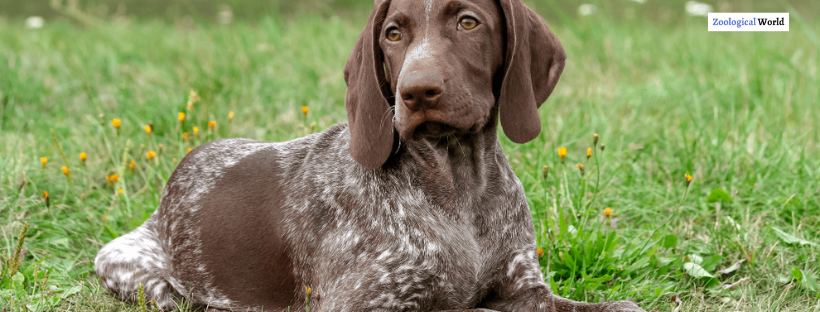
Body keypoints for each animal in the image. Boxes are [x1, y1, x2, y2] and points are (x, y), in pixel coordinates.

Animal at [97, 0, 648, 310]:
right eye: (393, 33)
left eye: (468, 22)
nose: (416, 91)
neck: (458, 186)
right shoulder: (364, 303)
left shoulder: (528, 289)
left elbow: (623, 308)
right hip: (128, 267)